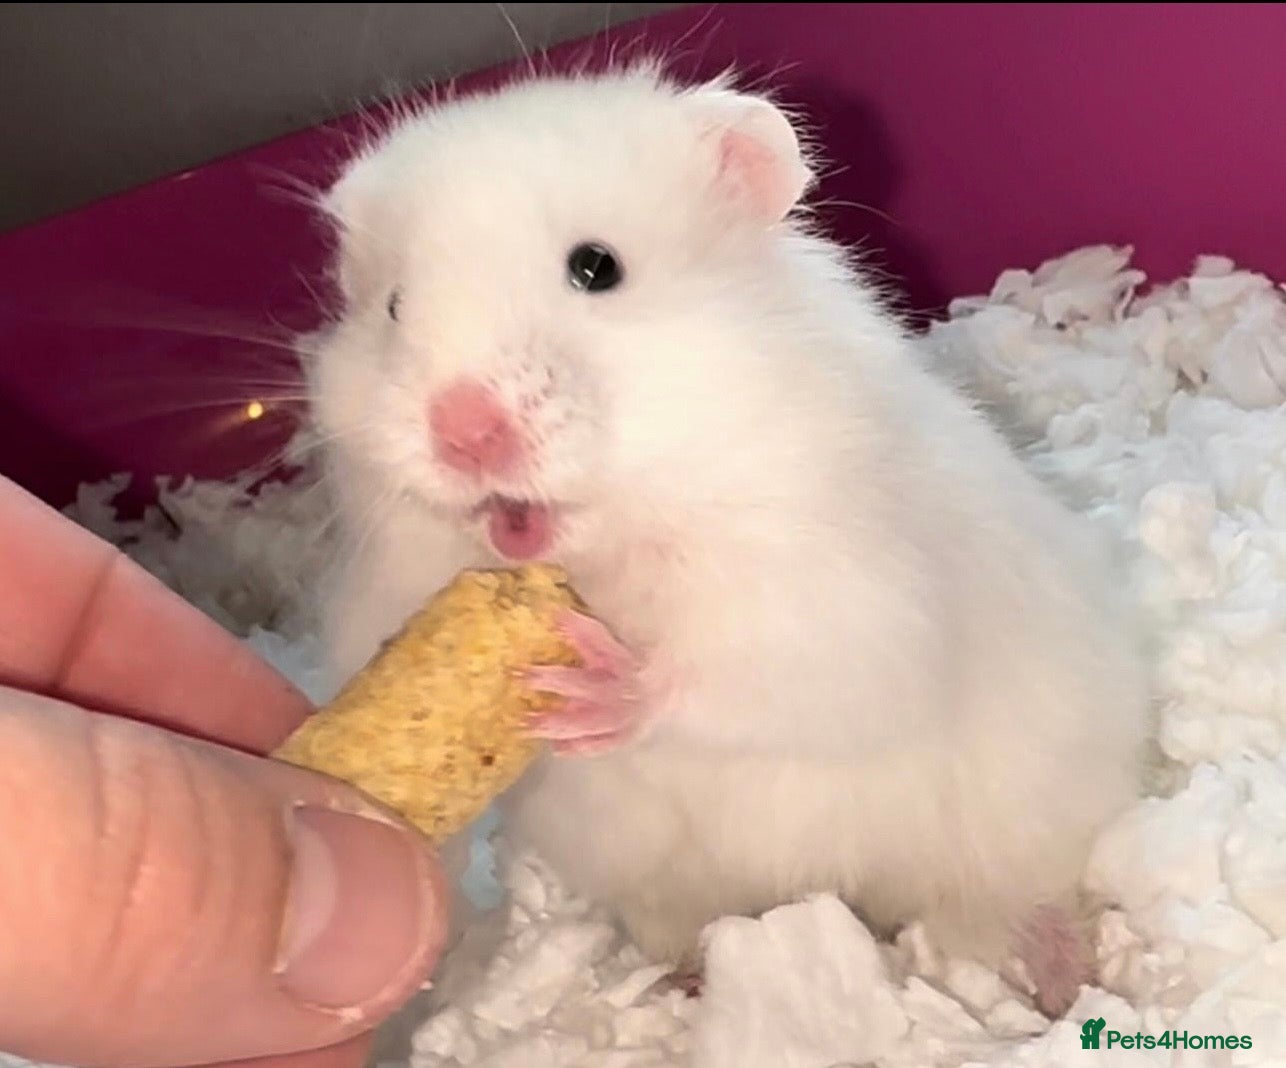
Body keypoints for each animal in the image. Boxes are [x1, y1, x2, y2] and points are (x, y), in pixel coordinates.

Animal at [302, 64, 1151, 1017]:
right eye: (392, 307)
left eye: (596, 267)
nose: (463, 430)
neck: (613, 536)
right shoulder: (381, 590)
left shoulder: (836, 595)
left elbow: (741, 674)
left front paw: (597, 687)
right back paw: (689, 981)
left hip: (1028, 808)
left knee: (1024, 898)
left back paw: (1062, 980)